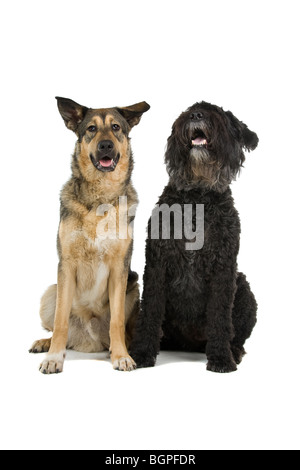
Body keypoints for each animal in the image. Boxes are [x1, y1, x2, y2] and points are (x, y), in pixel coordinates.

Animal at [29, 96, 149, 374]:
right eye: (91, 129)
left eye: (116, 127)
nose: (106, 145)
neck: (100, 199)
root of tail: (87, 341)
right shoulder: (66, 265)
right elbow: (60, 320)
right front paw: (53, 357)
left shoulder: (120, 268)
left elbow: (116, 321)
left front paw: (121, 356)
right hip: (50, 292)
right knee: (58, 326)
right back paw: (45, 343)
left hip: (133, 286)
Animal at [131, 101, 258, 372]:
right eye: (188, 110)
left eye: (219, 114)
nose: (196, 115)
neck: (198, 195)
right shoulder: (157, 265)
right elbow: (151, 311)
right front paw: (143, 353)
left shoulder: (224, 269)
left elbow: (220, 316)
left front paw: (221, 358)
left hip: (243, 287)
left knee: (237, 334)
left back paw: (233, 350)